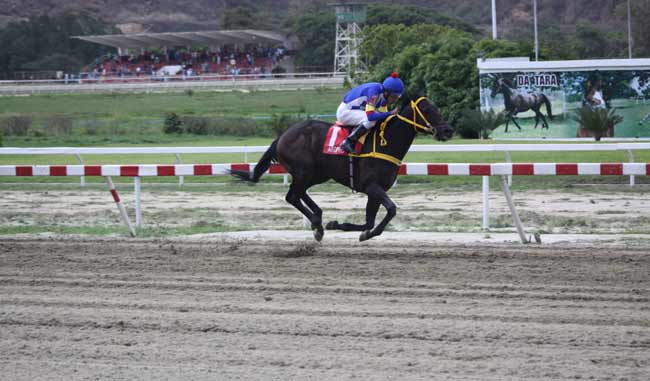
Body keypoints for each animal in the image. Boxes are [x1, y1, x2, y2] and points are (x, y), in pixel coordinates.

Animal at [232, 96, 450, 242]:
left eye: (437, 108)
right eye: (428, 110)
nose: (448, 130)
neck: (386, 142)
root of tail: (282, 136)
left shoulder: (375, 191)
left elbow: (370, 222)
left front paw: (357, 231)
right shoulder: (371, 186)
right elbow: (391, 209)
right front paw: (347, 228)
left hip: (318, 173)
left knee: (299, 193)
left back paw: (318, 217)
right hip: (304, 170)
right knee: (292, 196)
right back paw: (317, 224)